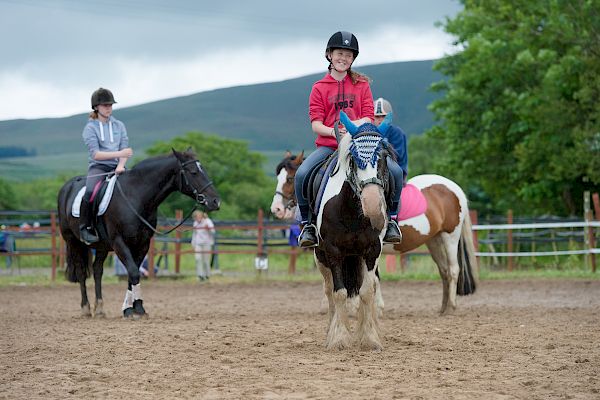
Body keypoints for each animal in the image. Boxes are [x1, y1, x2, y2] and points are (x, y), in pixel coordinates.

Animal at [56, 148, 219, 318]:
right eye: (193, 172)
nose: (215, 201)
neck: (135, 196)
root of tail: (66, 188)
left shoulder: (142, 244)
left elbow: (131, 274)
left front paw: (132, 308)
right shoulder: (119, 243)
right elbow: (134, 272)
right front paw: (136, 309)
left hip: (101, 246)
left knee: (97, 270)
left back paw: (100, 309)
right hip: (73, 242)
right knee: (81, 272)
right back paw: (86, 308)